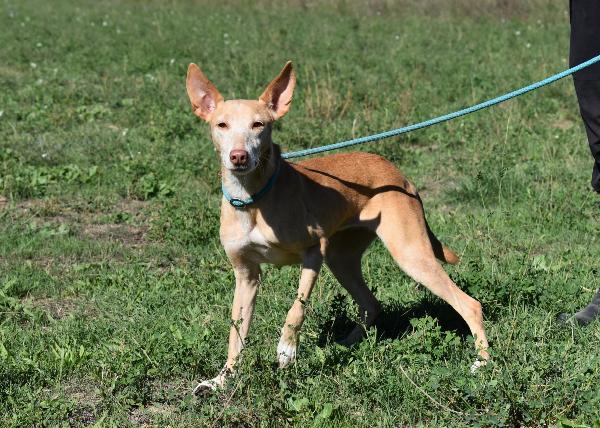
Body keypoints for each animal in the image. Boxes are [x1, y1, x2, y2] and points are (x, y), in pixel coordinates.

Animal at [186, 61, 488, 394]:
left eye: (259, 125)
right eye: (221, 125)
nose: (239, 156)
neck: (253, 199)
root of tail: (398, 173)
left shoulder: (313, 252)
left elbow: (296, 309)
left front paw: (286, 349)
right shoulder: (246, 275)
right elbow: (235, 333)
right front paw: (222, 379)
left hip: (409, 254)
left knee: (470, 304)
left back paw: (483, 363)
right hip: (341, 258)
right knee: (371, 304)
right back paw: (345, 345)